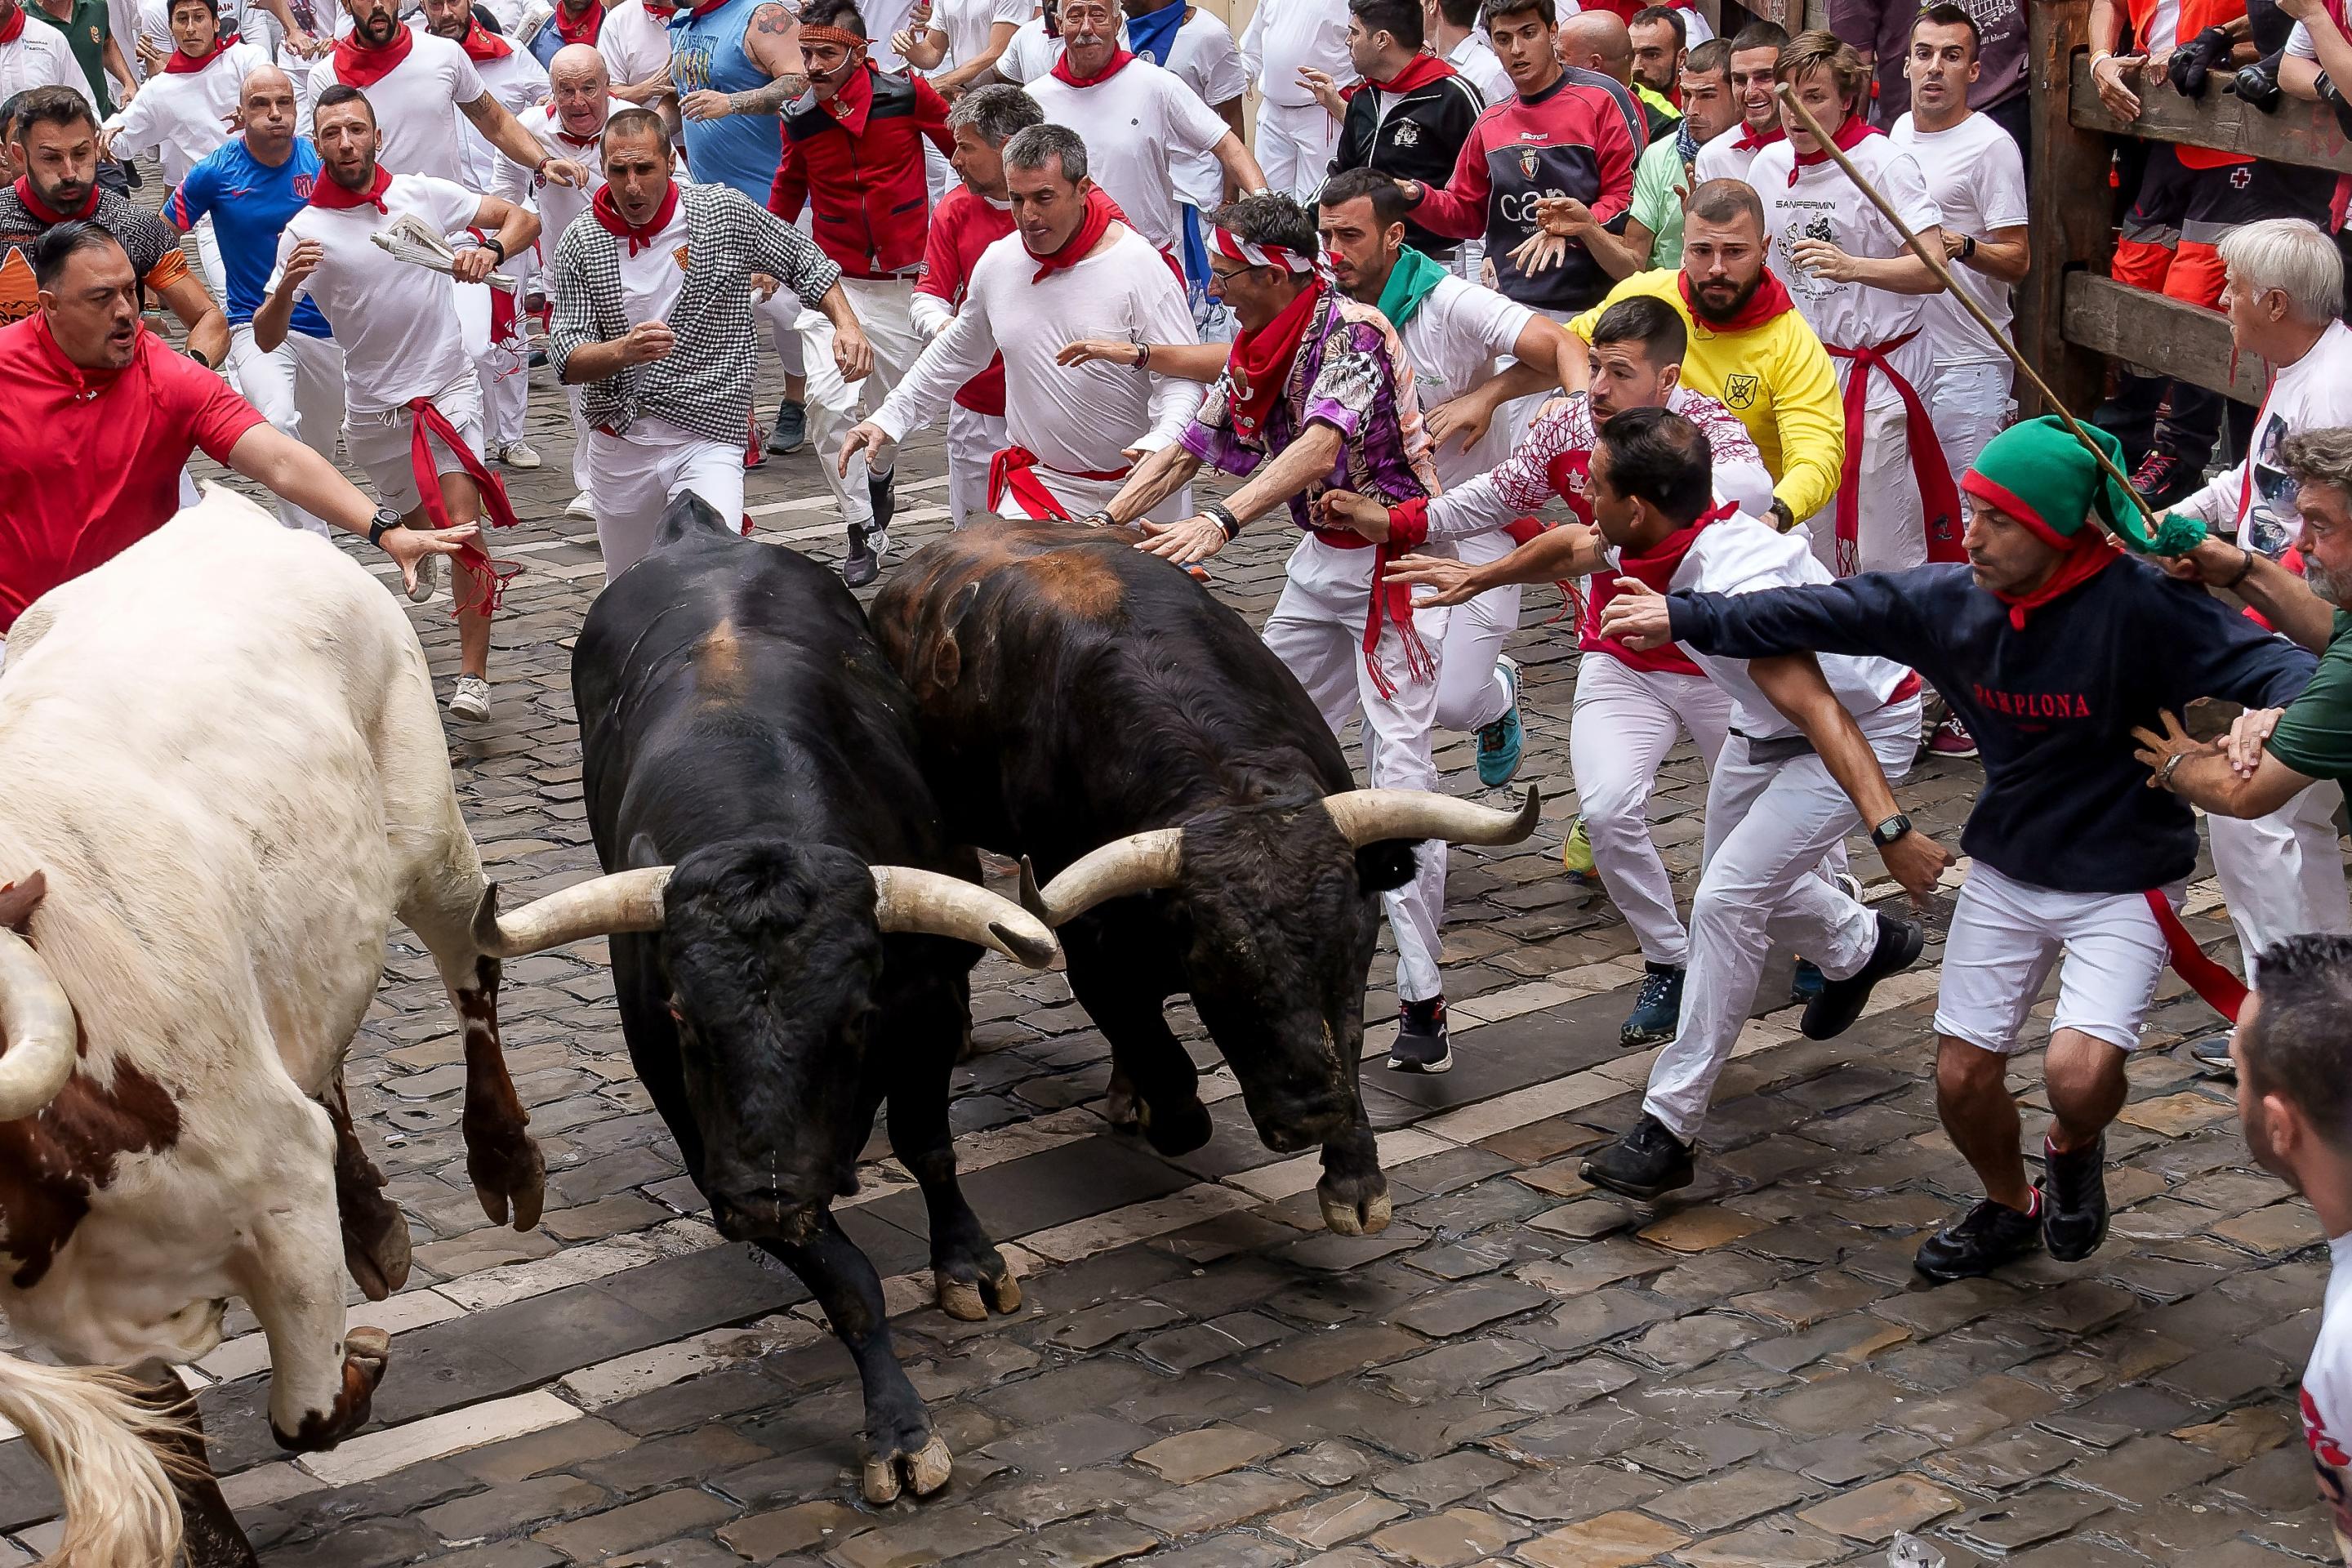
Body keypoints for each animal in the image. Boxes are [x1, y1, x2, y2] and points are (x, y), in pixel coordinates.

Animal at [550, 505, 1058, 1504]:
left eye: (856, 1018)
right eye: (684, 1017)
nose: (763, 1202)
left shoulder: (925, 1012)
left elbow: (930, 1146)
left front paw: (969, 1264)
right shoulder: (699, 1126)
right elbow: (843, 1278)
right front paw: (898, 1430)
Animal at [875, 526, 1533, 1241]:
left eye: (1352, 957)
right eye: (1218, 974)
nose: (1310, 1116)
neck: (1226, 781)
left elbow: (1343, 1045)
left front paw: (1355, 1180)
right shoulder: (1086, 941)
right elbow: (1160, 1059)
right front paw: (1166, 1113)